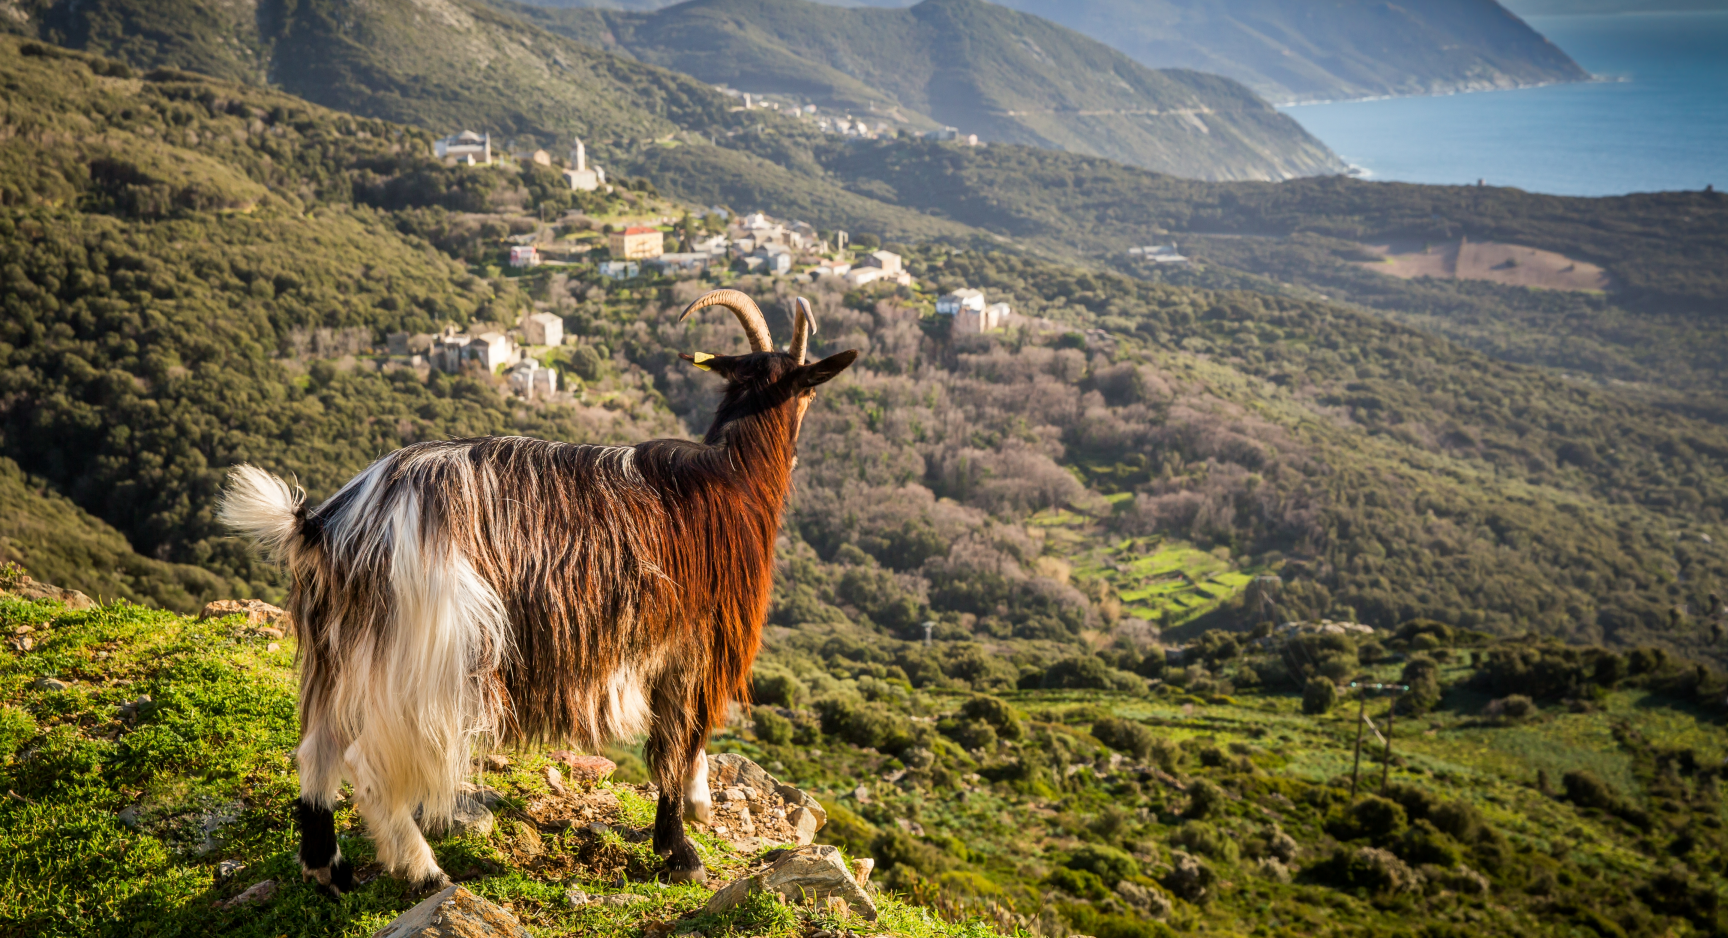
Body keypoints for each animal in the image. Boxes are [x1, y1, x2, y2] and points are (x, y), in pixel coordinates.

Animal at [219, 290, 855, 894]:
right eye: (809, 390)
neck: (733, 478)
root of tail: (335, 525)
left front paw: (692, 818)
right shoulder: (700, 642)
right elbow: (678, 742)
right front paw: (681, 852)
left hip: (340, 649)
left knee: (316, 749)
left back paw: (326, 868)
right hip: (431, 660)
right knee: (366, 765)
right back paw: (424, 871)